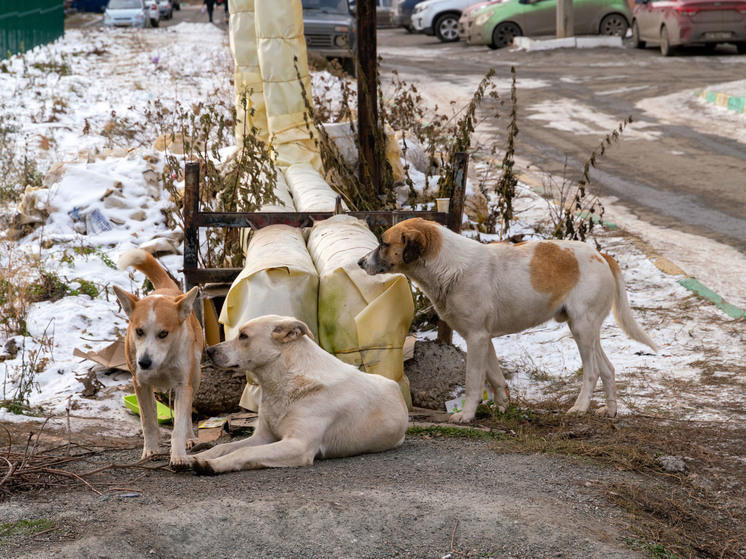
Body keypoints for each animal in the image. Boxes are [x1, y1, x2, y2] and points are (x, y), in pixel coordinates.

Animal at [114, 249, 202, 468]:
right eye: (139, 331)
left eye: (163, 334)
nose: (144, 363)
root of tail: (167, 289)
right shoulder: (140, 384)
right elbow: (147, 421)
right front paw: (151, 450)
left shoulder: (183, 385)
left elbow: (179, 425)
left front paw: (178, 455)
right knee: (153, 411)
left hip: (195, 376)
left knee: (187, 413)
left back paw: (190, 438)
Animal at [186, 316, 406, 476]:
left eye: (244, 336)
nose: (209, 350)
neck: (284, 381)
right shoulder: (264, 436)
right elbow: (224, 447)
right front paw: (194, 457)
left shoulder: (298, 445)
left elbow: (244, 451)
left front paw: (213, 465)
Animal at [358, 219, 652, 424]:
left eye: (384, 244)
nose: (360, 262)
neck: (447, 265)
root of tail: (602, 255)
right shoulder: (483, 338)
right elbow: (495, 378)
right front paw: (501, 408)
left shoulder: (476, 338)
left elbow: (474, 381)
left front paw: (466, 415)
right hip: (588, 331)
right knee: (608, 369)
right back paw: (610, 411)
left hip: (581, 329)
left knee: (592, 372)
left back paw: (580, 408)